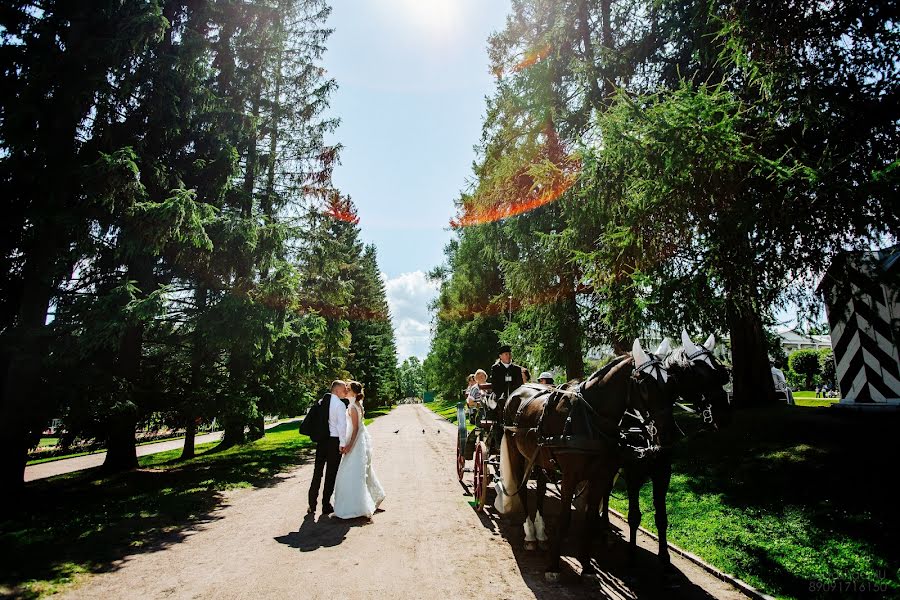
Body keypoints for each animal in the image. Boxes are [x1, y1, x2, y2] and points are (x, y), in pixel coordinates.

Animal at [496, 338, 672, 580]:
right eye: (645, 385)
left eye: (669, 381)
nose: (666, 432)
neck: (590, 419)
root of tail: (516, 392)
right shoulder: (571, 476)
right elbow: (564, 519)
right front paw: (553, 566)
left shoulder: (600, 476)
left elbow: (589, 518)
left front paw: (587, 565)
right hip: (517, 453)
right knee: (522, 490)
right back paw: (530, 534)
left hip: (538, 458)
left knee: (540, 488)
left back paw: (541, 533)